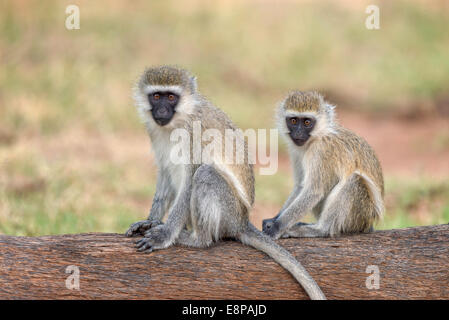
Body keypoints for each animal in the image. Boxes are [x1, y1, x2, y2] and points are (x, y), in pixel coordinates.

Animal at [126, 65, 326, 300]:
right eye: (156, 96)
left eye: (171, 97)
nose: (162, 111)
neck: (178, 120)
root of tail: (242, 221)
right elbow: (165, 173)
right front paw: (150, 221)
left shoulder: (194, 133)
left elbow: (190, 180)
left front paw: (164, 235)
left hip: (229, 213)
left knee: (205, 174)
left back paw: (197, 239)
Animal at [262, 91, 384, 239]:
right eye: (293, 121)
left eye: (307, 122)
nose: (298, 133)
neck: (316, 137)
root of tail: (368, 224)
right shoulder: (296, 151)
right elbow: (300, 186)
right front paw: (273, 219)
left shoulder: (322, 150)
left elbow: (314, 191)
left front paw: (277, 226)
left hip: (362, 214)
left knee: (355, 181)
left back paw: (320, 229)